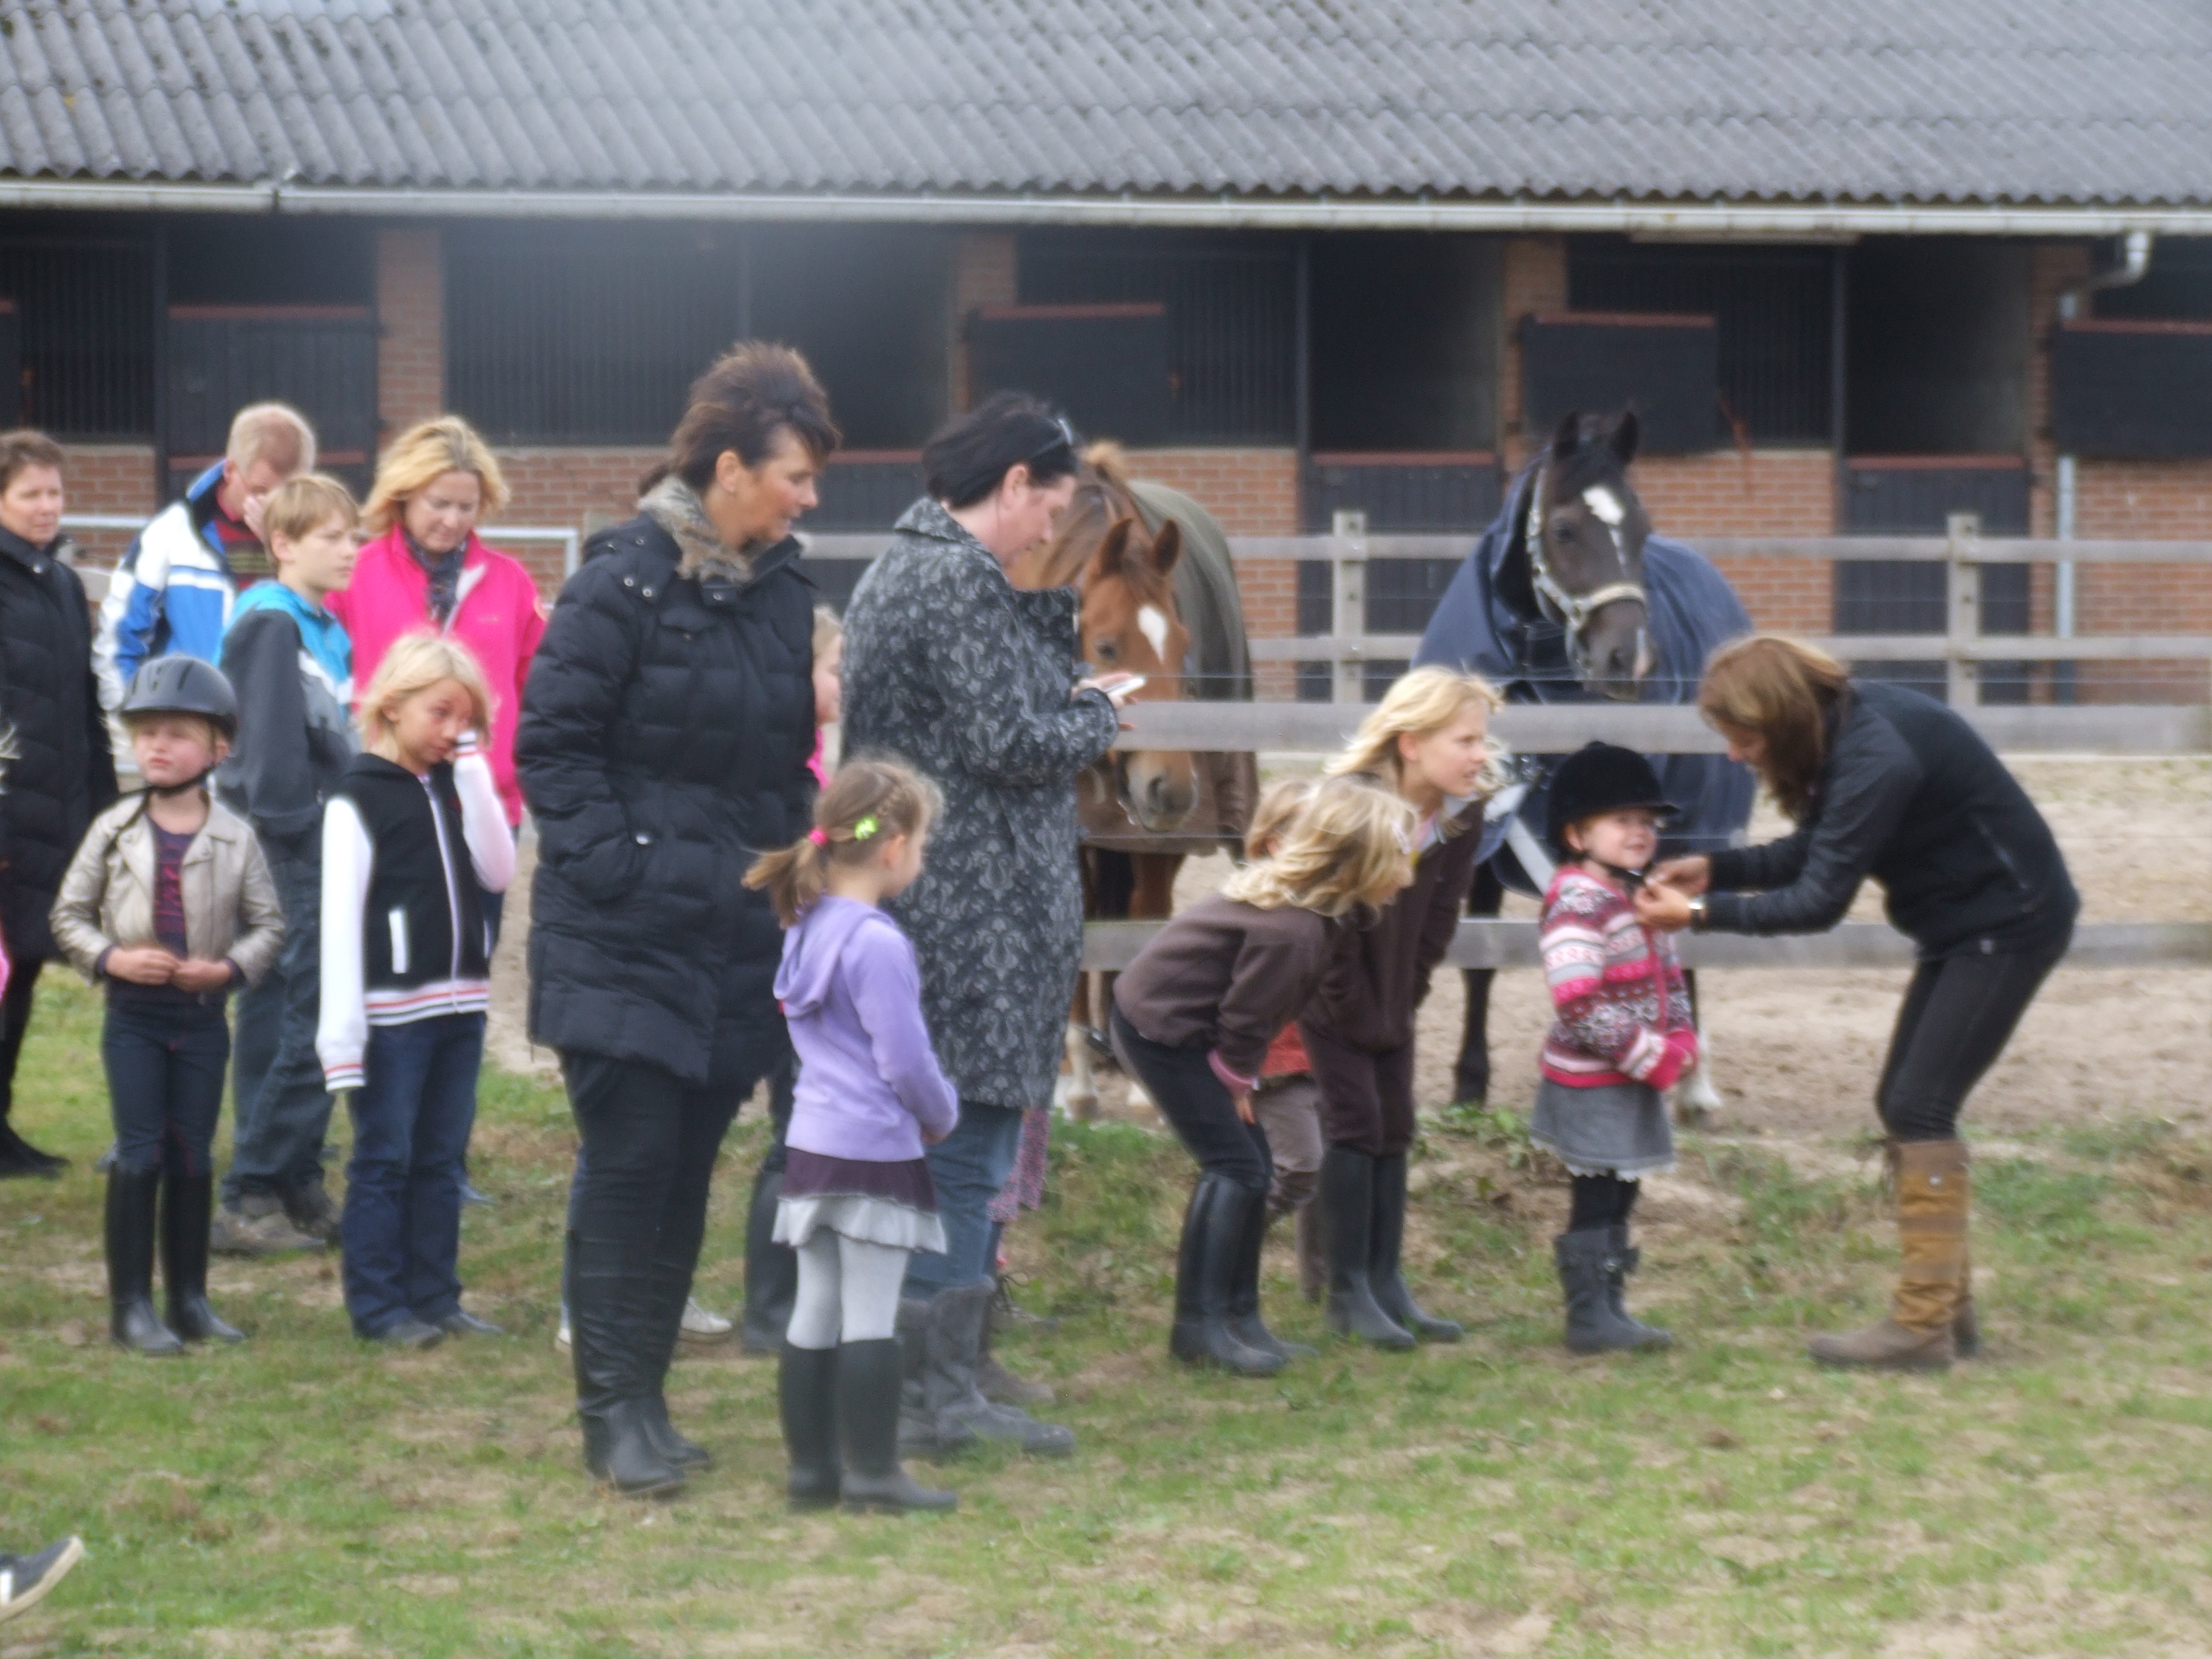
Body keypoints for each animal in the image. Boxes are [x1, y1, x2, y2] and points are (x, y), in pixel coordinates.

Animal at [1415, 411, 1760, 1123]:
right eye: (1564, 529)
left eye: (1642, 529)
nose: (1627, 659)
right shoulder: (1489, 832)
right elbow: (1479, 957)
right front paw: (1469, 1082)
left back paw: (1695, 1086)